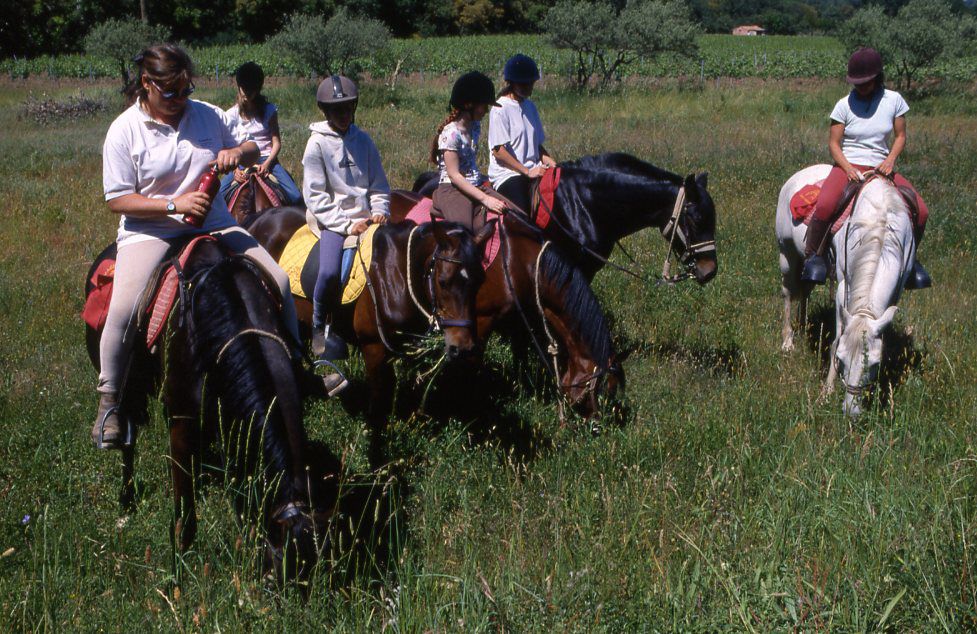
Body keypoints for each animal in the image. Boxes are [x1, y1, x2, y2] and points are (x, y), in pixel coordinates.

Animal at [85, 238, 336, 584]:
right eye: (272, 574)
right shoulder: (182, 428)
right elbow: (185, 515)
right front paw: (180, 569)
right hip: (129, 387)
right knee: (126, 441)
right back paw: (126, 494)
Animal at [244, 207, 496, 464]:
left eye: (480, 281)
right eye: (443, 282)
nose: (463, 347)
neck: (397, 273)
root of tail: (259, 218)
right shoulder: (373, 348)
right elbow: (377, 403)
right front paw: (374, 453)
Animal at [772, 165, 912, 418]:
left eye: (874, 364)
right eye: (841, 359)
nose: (851, 411)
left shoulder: (895, 291)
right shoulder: (842, 290)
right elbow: (837, 339)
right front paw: (826, 392)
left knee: (805, 292)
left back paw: (804, 325)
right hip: (787, 255)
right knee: (788, 293)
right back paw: (788, 341)